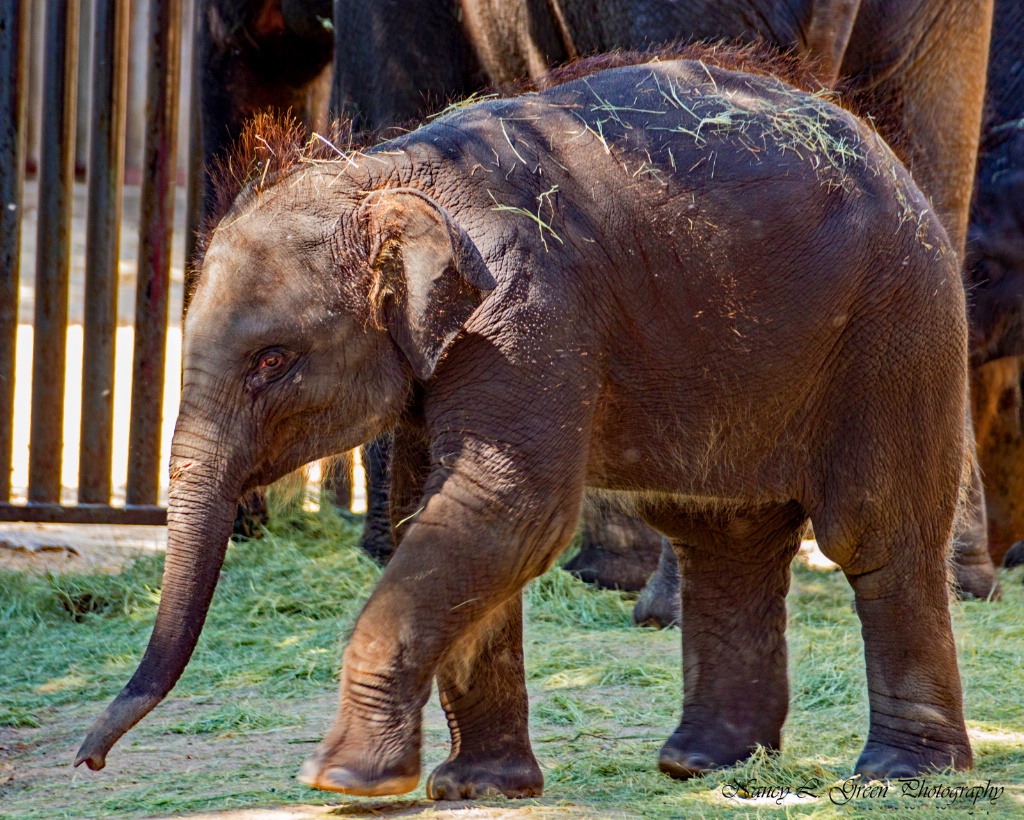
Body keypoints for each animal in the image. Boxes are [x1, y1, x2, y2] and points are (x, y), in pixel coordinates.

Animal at [75, 49, 970, 794]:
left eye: (272, 361)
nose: (90, 759)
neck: (389, 170)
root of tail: (883, 148)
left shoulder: (525, 312)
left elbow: (508, 508)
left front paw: (343, 782)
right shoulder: (451, 350)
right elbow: (439, 513)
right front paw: (477, 789)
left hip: (897, 326)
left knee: (875, 530)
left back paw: (898, 776)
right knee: (722, 533)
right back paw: (703, 764)